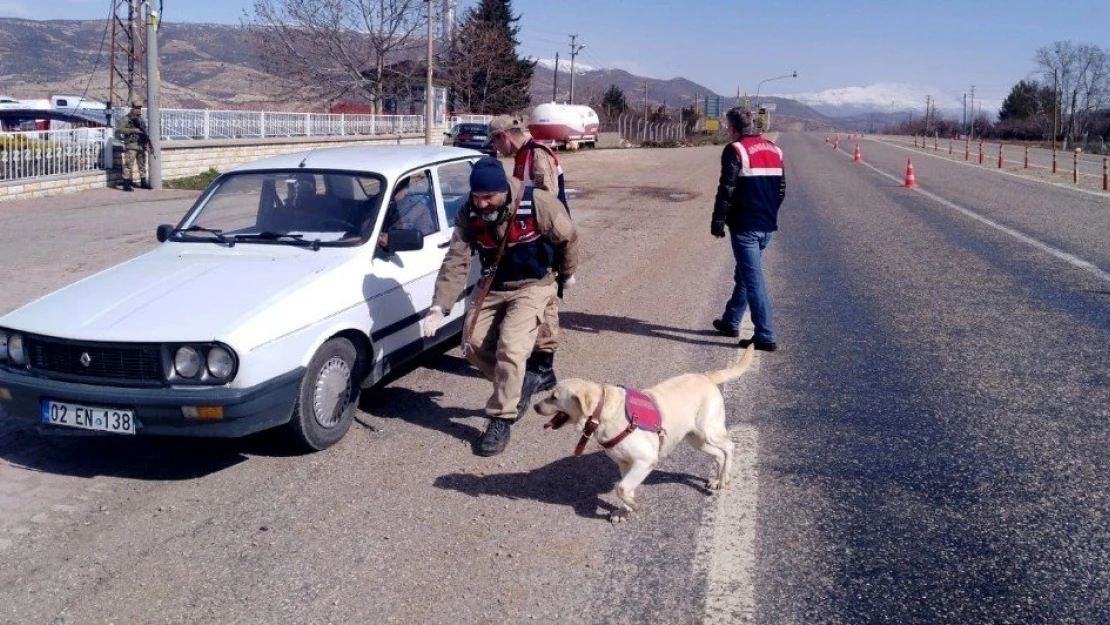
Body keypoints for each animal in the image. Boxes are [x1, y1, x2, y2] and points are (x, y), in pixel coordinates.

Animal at [535, 341, 759, 523]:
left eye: (554, 397)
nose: (535, 407)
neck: (606, 411)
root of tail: (704, 375)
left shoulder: (645, 460)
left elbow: (621, 488)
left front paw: (633, 507)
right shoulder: (626, 464)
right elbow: (626, 489)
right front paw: (624, 511)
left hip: (709, 430)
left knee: (730, 447)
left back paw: (723, 479)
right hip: (696, 439)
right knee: (719, 454)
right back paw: (719, 478)